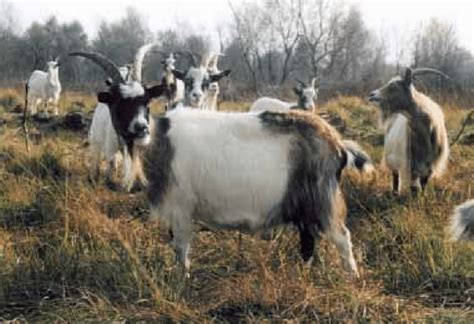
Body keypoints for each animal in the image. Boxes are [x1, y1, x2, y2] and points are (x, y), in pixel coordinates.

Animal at [69, 49, 374, 278]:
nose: (140, 127)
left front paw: (182, 282)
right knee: (308, 242)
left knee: (342, 237)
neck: (159, 140)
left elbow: (181, 249)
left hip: (322, 198)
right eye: (118, 102)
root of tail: (336, 144)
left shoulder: (181, 206)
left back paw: (352, 280)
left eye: (145, 100)